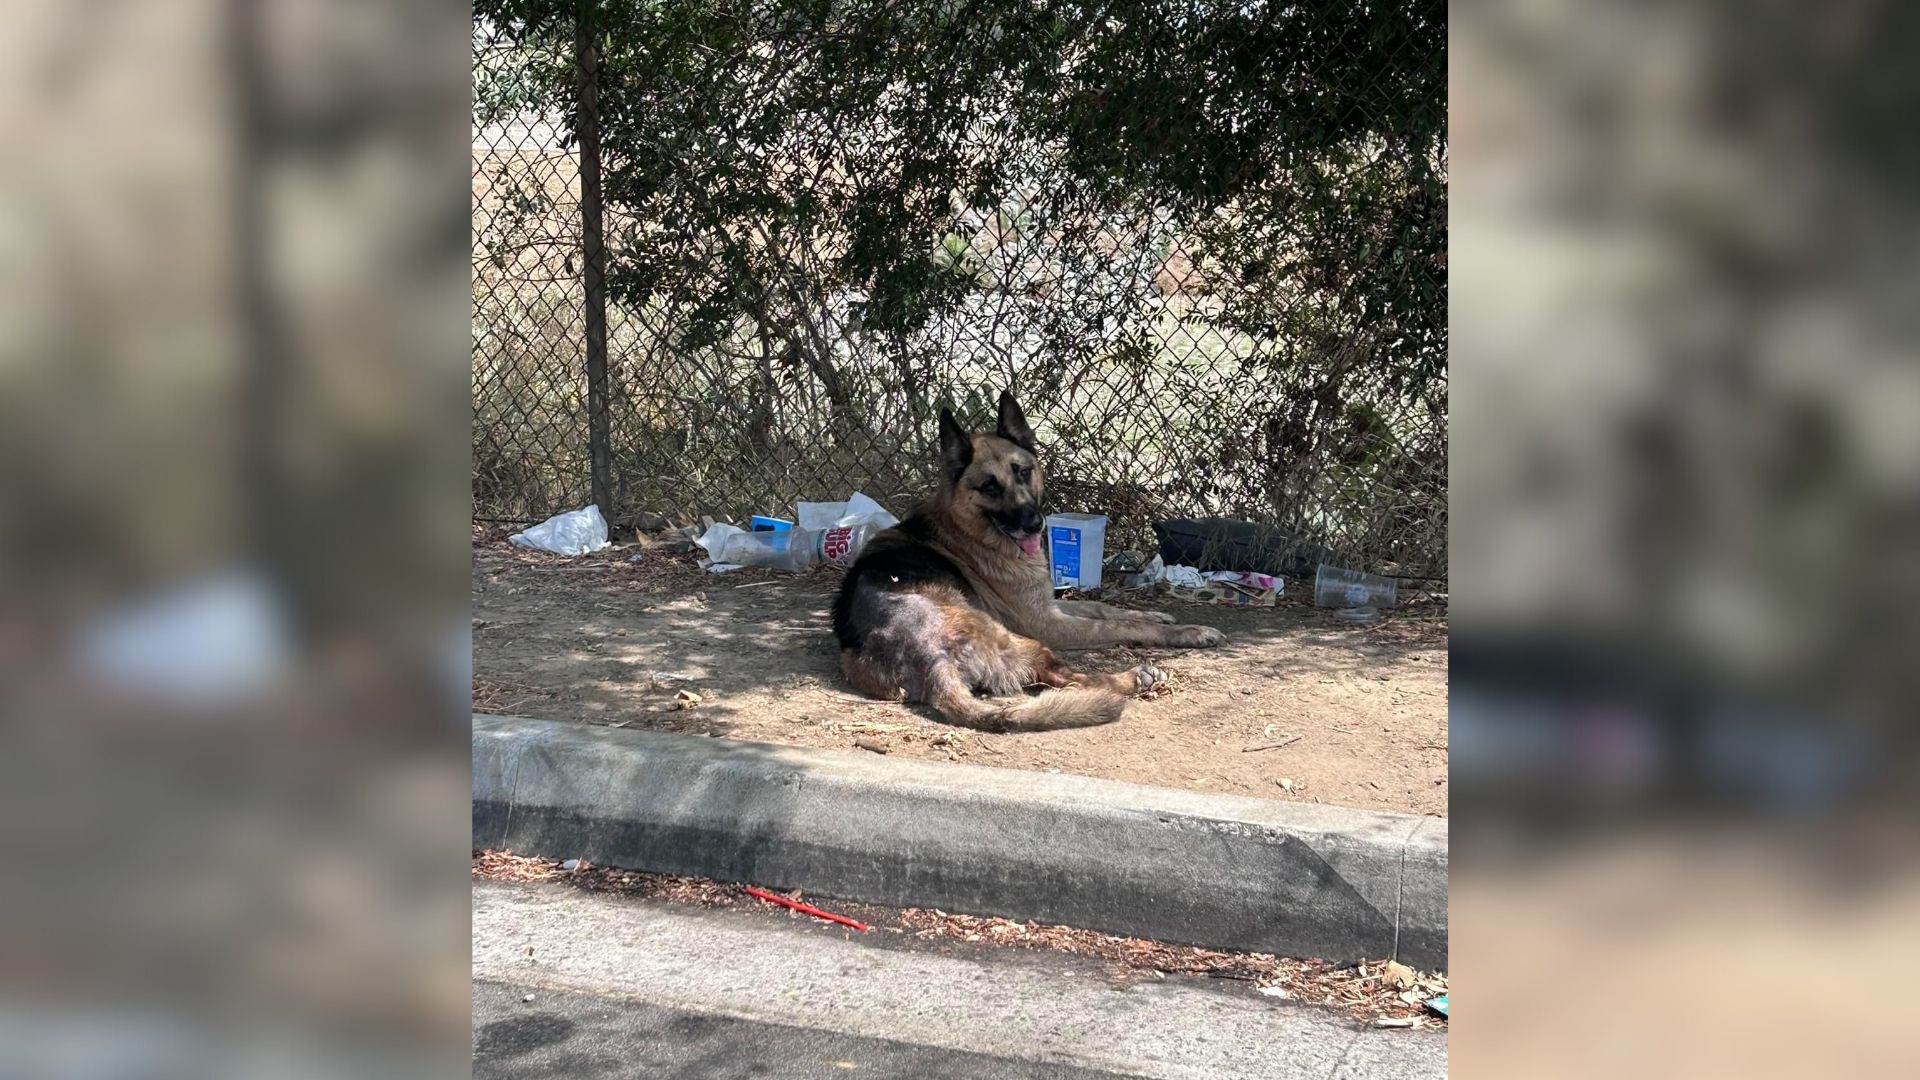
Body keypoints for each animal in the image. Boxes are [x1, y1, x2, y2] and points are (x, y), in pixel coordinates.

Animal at [829, 390, 1221, 726]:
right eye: (989, 487)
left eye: (1023, 471)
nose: (1035, 524)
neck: (968, 529)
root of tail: (928, 659)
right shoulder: (1045, 623)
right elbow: (1119, 627)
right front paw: (1185, 631)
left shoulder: (1047, 605)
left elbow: (1105, 608)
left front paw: (1155, 614)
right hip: (1028, 642)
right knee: (1078, 679)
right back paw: (1135, 677)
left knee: (1060, 680)